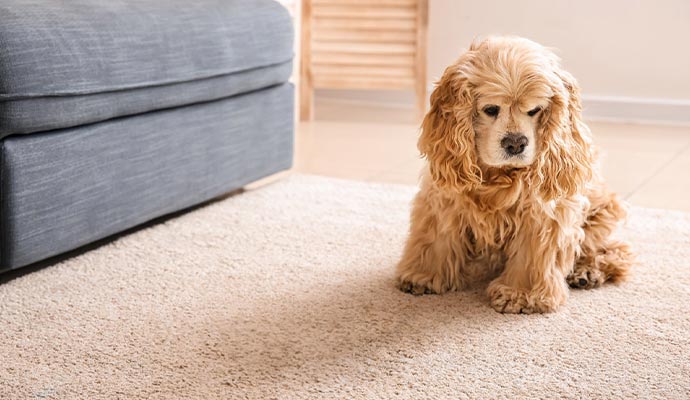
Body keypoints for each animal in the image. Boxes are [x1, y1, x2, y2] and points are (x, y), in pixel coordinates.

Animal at [396, 36, 632, 314]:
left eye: (535, 110)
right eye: (490, 109)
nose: (516, 143)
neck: (498, 176)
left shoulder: (542, 214)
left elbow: (532, 255)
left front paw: (520, 294)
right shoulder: (444, 199)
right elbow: (436, 238)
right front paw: (423, 275)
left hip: (602, 214)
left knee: (615, 251)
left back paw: (586, 272)